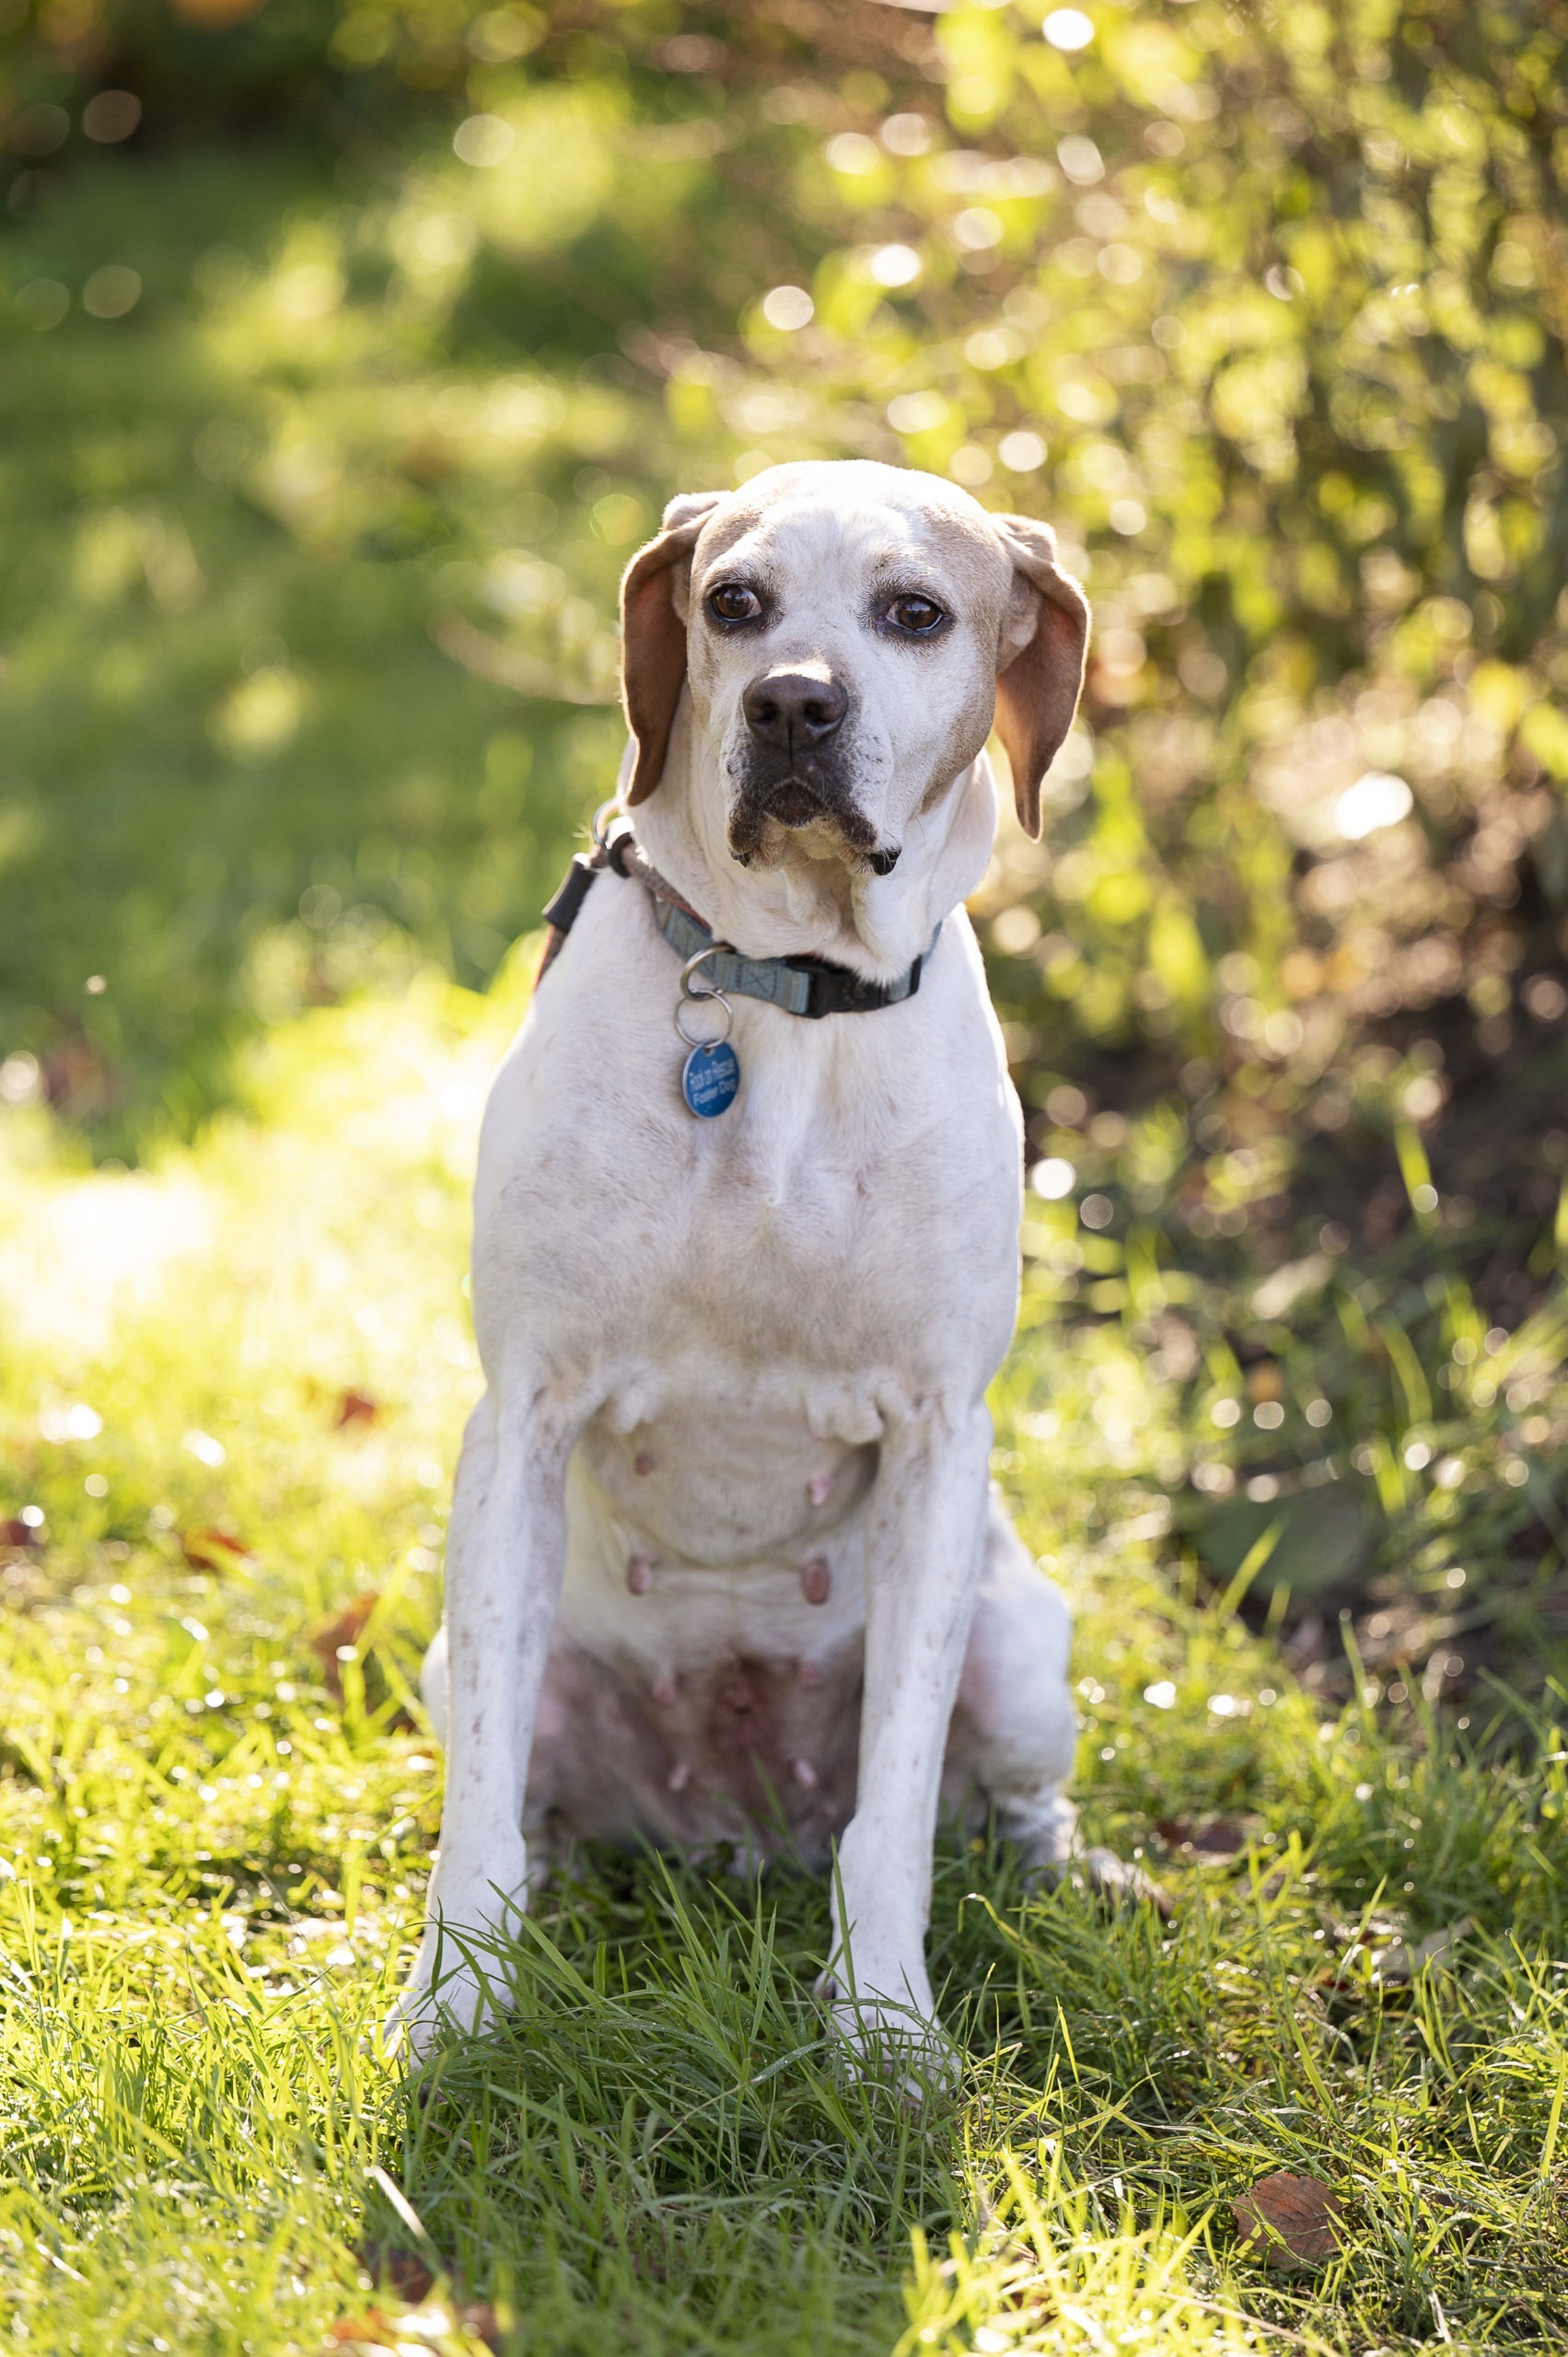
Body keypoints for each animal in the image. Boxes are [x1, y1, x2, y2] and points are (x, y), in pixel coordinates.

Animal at [391, 449, 1094, 2073]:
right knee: (525, 1796)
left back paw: (1069, 1870)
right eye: (732, 602)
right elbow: (474, 1826)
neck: (779, 993)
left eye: (914, 612)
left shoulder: (936, 1438)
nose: (788, 706)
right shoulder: (521, 1416)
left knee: (997, 1800)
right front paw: (456, 2007)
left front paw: (885, 2031)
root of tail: (736, 1822)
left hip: (1020, 1649)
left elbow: (891, 1816)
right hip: (472, 1665)